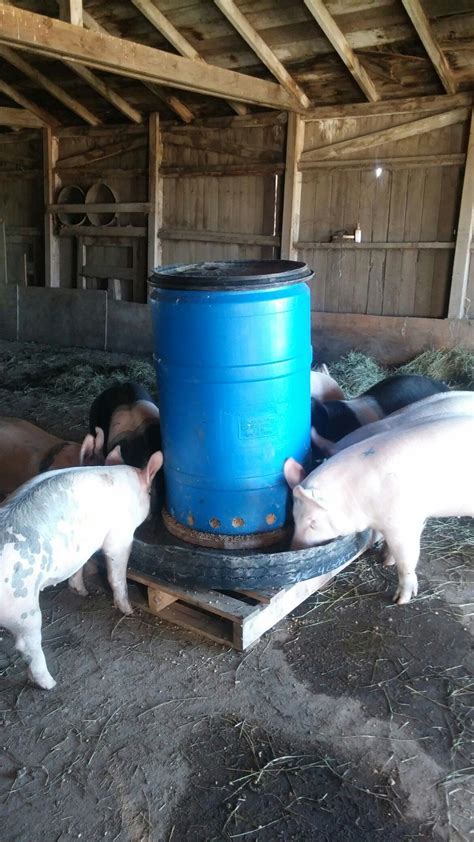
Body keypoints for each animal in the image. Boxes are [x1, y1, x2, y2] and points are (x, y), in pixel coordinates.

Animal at [0, 456, 163, 684]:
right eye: (150, 492)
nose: (152, 519)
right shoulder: (119, 538)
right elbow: (116, 577)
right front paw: (129, 610)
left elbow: (80, 566)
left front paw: (82, 592)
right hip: (21, 606)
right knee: (27, 645)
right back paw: (50, 683)